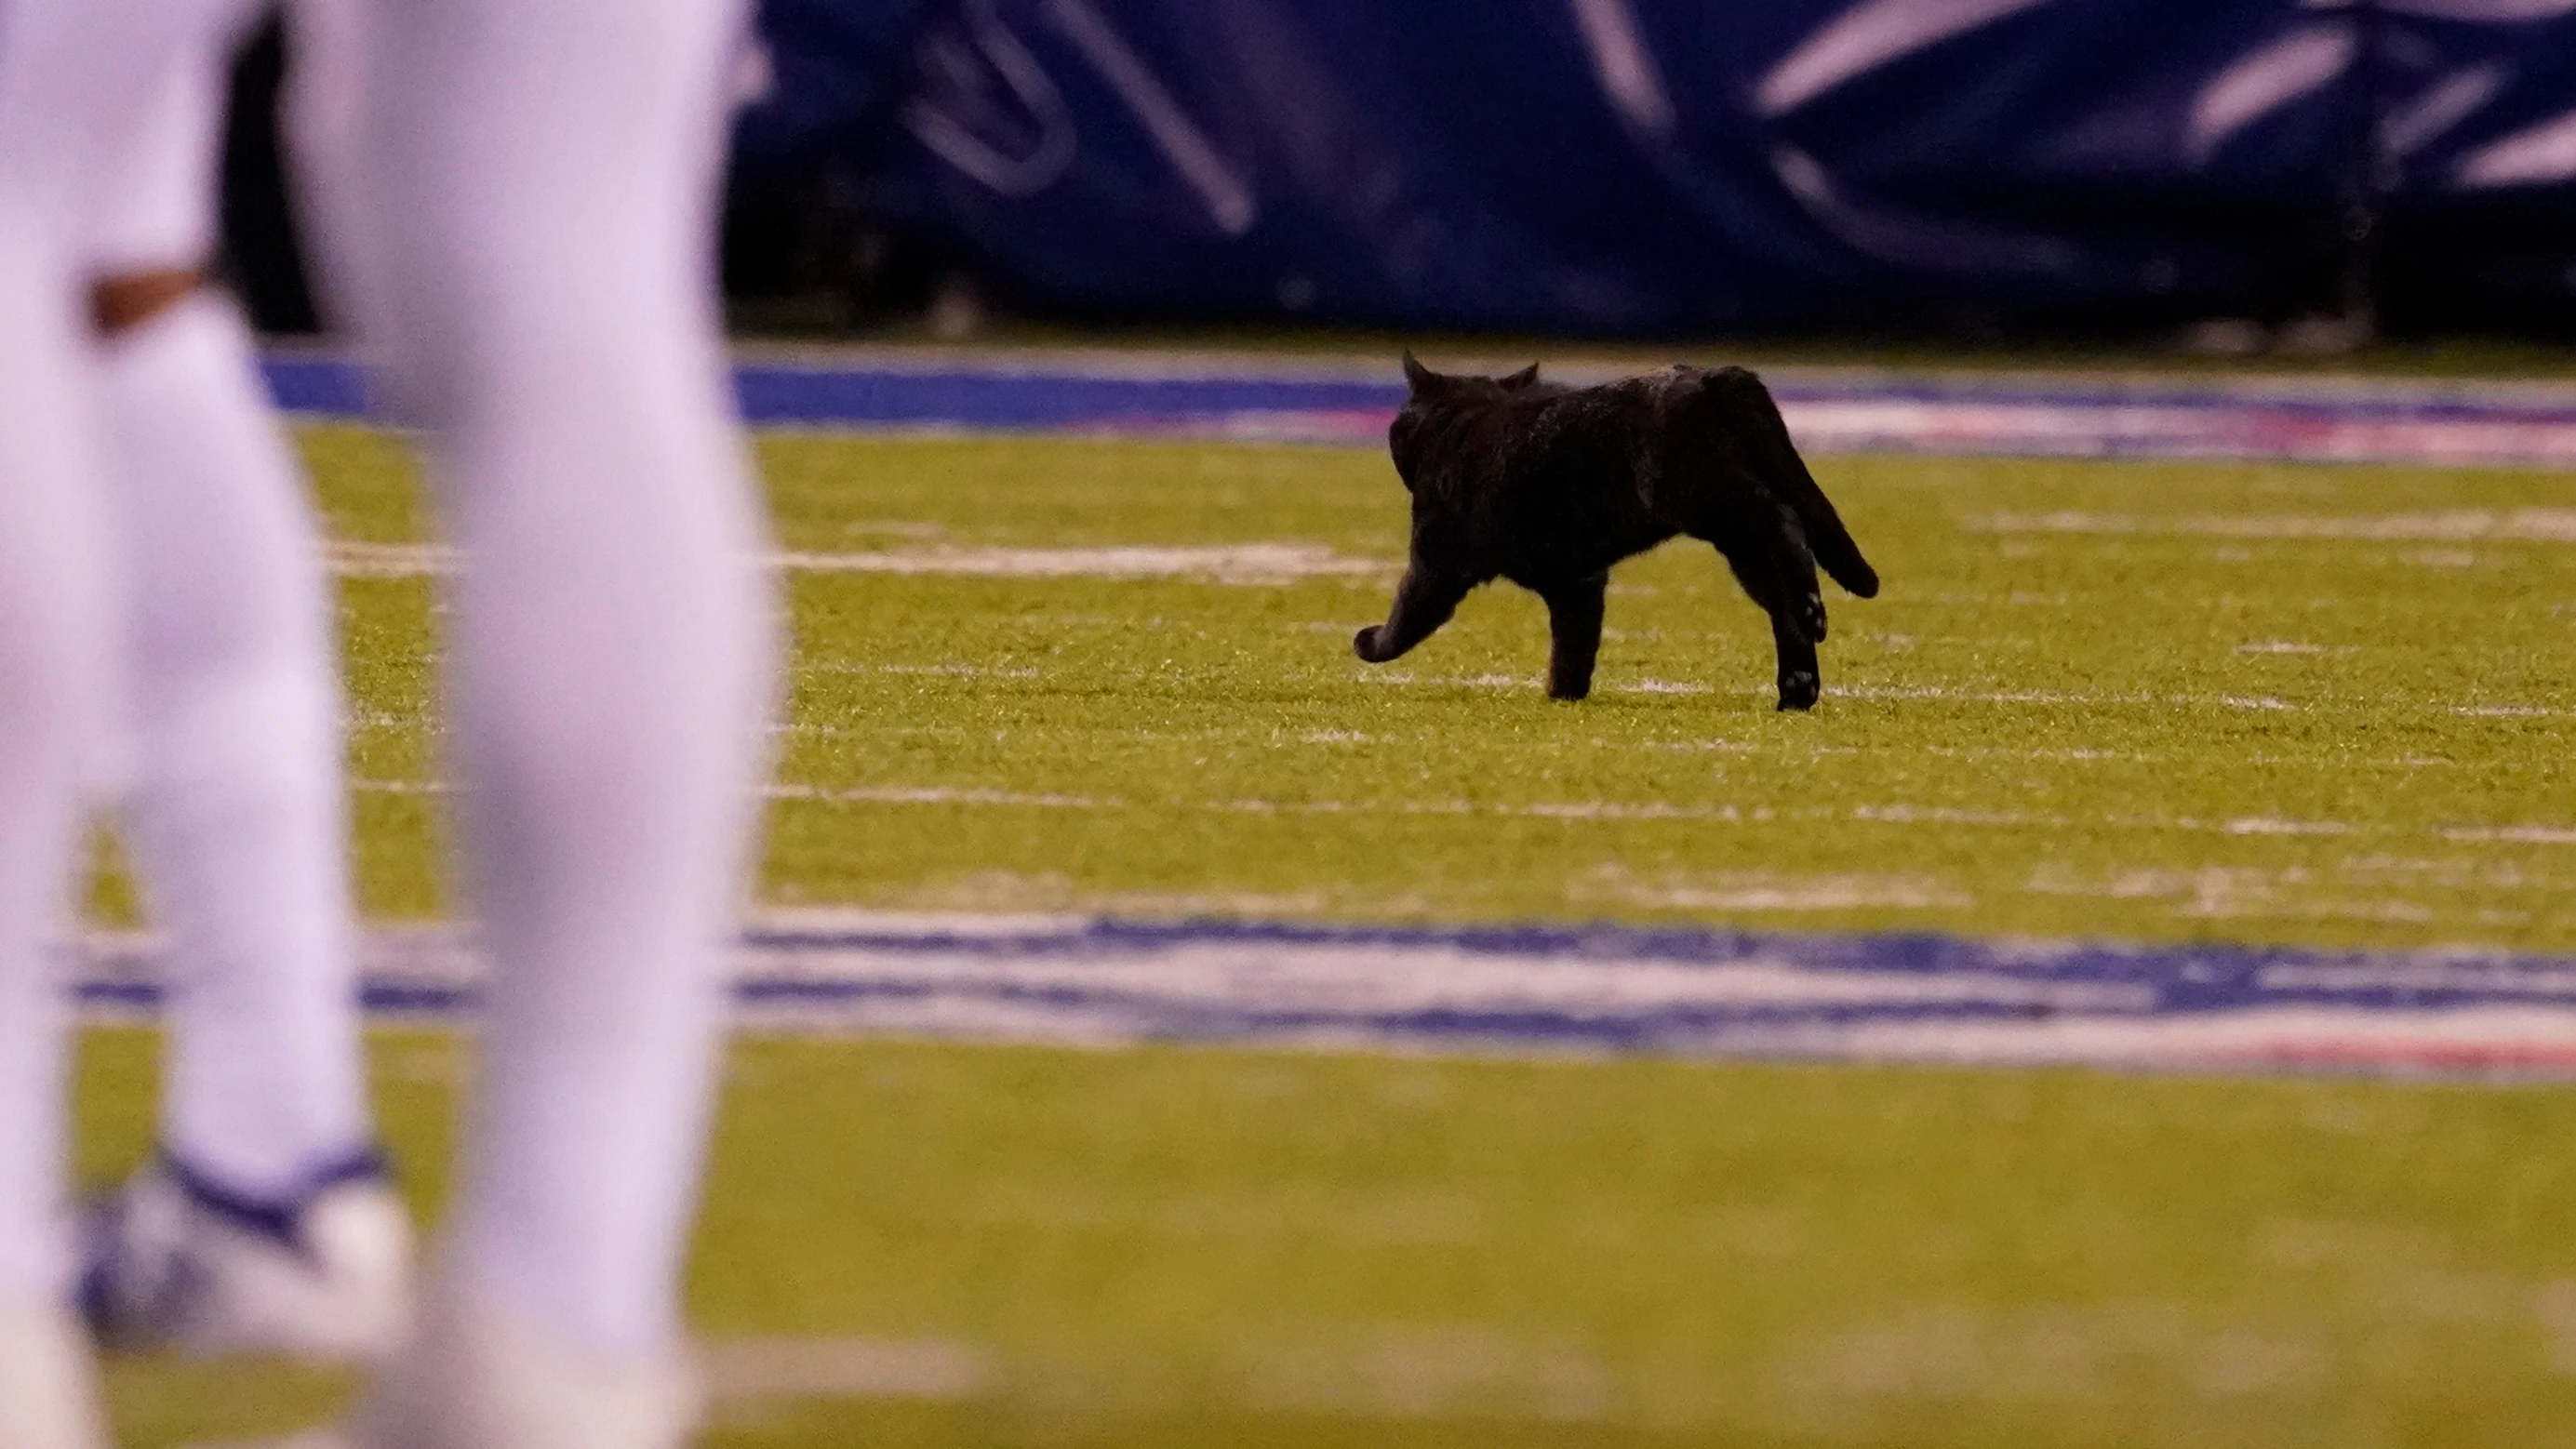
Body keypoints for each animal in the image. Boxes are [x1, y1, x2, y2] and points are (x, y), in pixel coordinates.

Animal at [1360, 354, 1885, 710]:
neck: (1464, 423)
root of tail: (1715, 373)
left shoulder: (1435, 561)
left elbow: (1405, 617)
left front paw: (1368, 641)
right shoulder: (1576, 582)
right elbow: (1574, 645)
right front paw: (1564, 697)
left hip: (1709, 499)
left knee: (1783, 522)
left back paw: (1812, 620)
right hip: (1739, 542)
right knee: (1780, 599)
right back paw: (1798, 688)